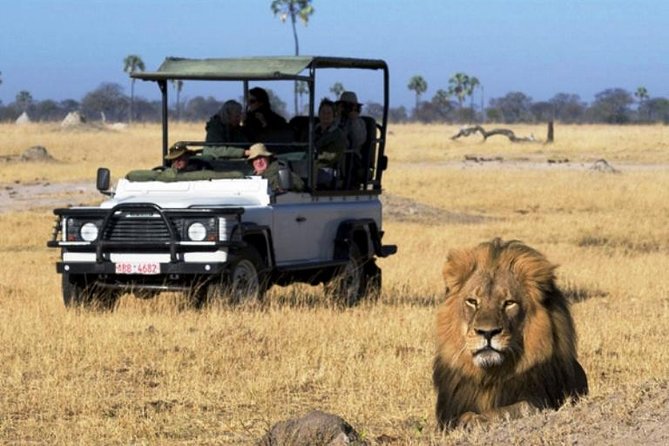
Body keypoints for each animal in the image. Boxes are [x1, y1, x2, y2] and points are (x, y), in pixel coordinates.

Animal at [434, 237, 584, 428]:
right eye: (472, 302)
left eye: (509, 303)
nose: (487, 332)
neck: (490, 378)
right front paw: (468, 419)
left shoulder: (540, 401)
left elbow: (509, 409)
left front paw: (477, 419)